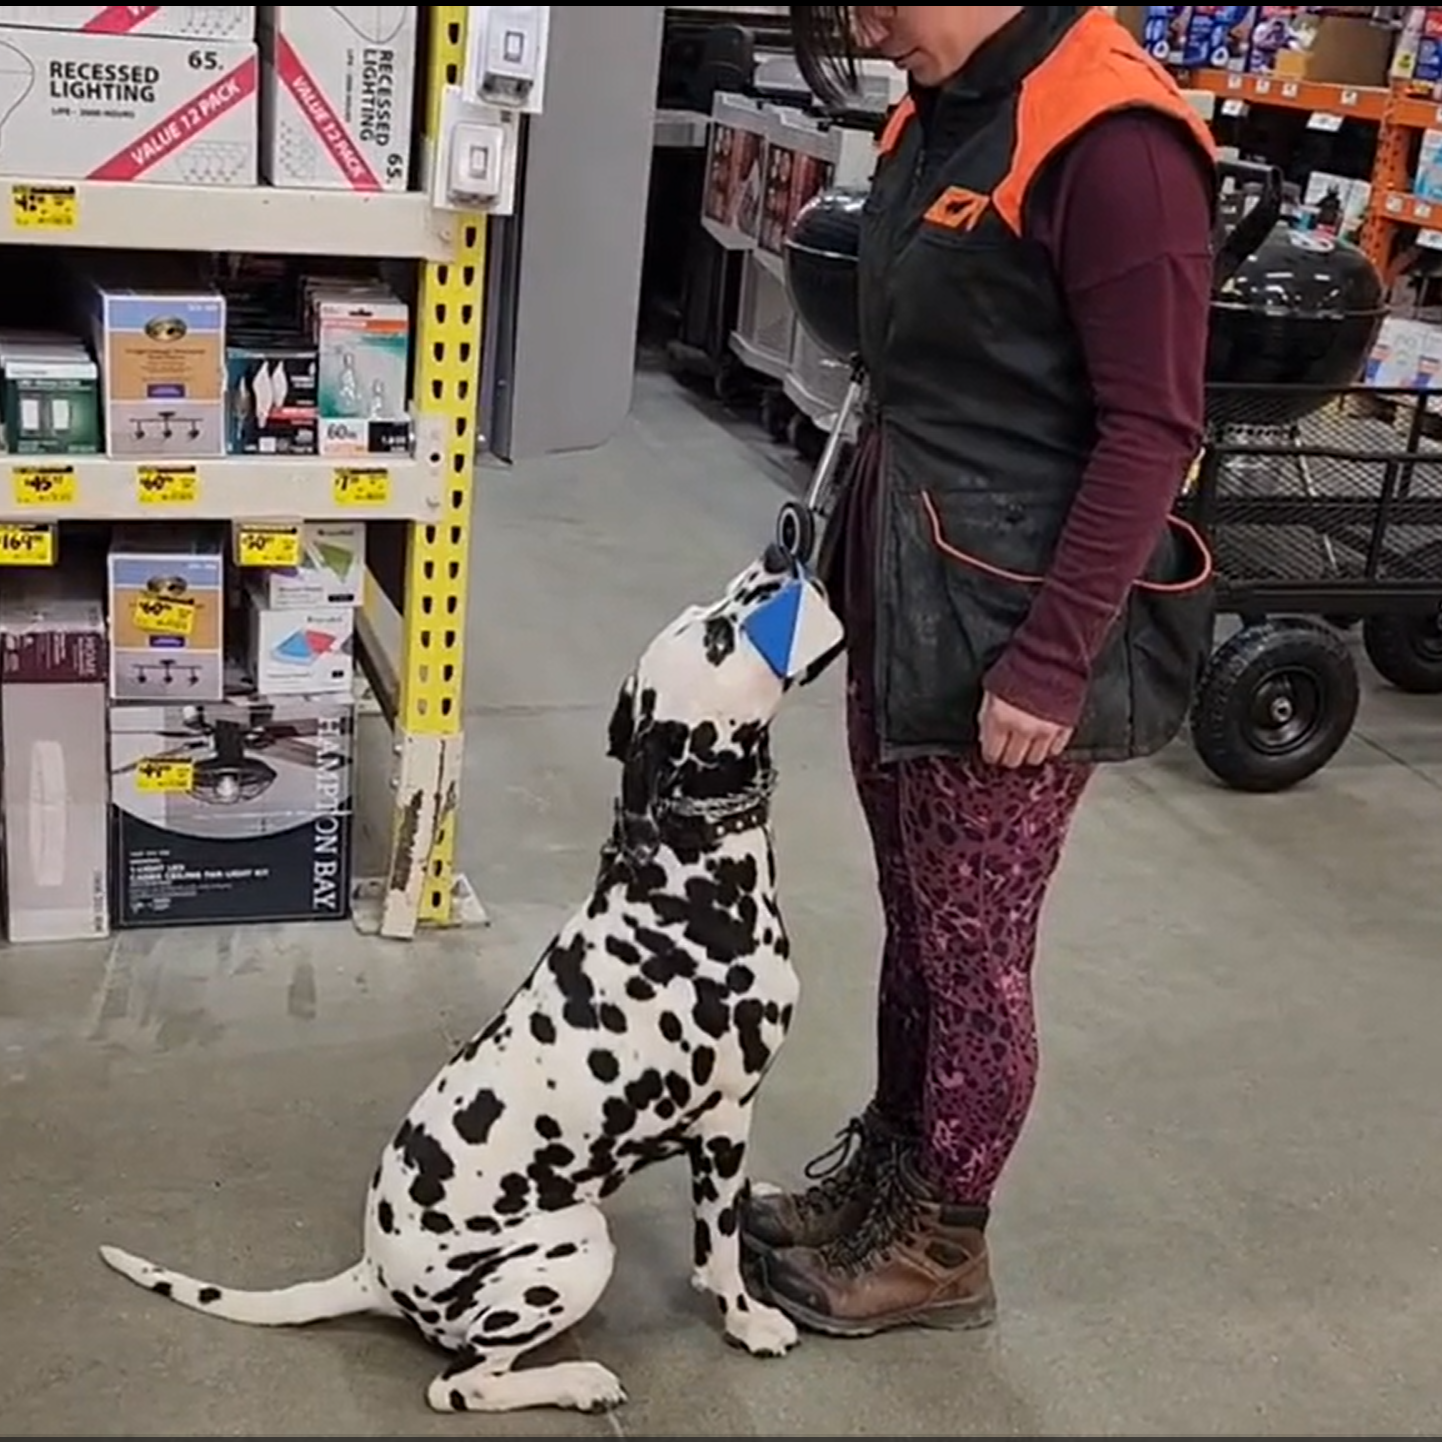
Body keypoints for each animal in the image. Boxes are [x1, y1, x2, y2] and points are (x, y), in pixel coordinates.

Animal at [98, 545, 842, 1413]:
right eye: (722, 637)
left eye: (716, 608)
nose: (782, 550)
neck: (684, 877)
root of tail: (374, 1275)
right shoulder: (726, 1118)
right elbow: (717, 1249)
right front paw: (746, 1319)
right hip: (578, 1245)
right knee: (460, 1386)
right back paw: (579, 1380)